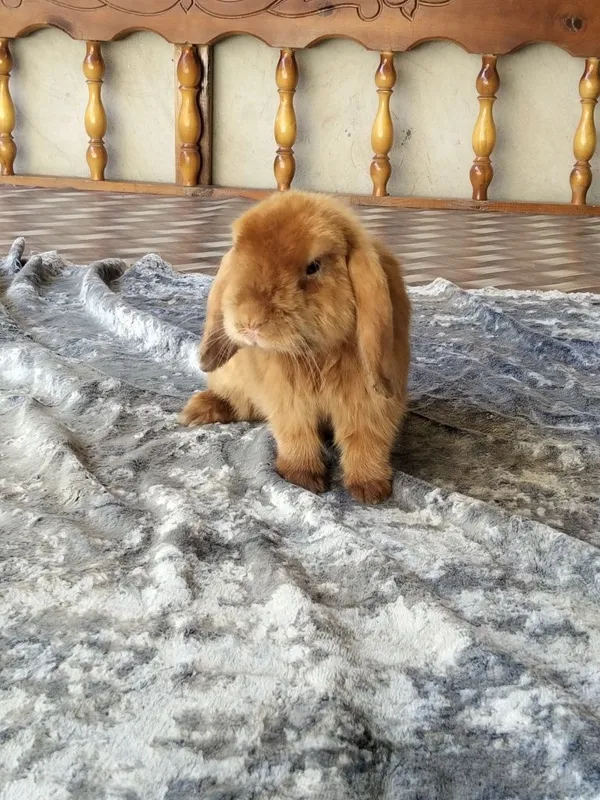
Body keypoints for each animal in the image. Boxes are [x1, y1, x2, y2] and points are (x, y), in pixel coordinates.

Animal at [179, 190, 411, 504]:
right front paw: (302, 478)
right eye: (240, 255)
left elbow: (365, 438)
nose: (250, 322)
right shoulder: (286, 401)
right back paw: (199, 411)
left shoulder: (369, 402)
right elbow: (296, 433)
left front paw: (370, 490)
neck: (315, 354)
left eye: (313, 266)